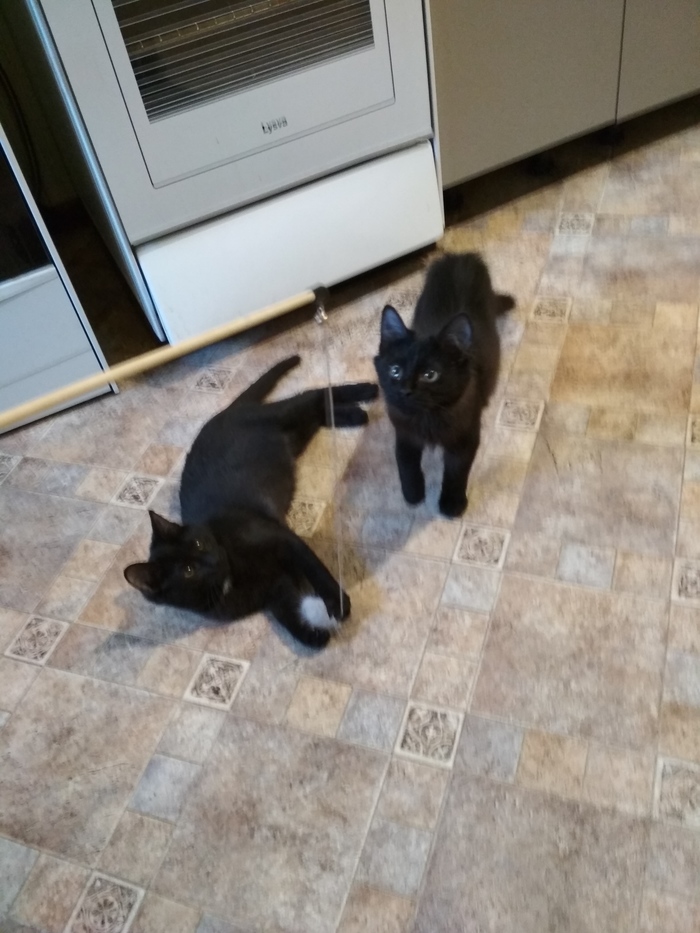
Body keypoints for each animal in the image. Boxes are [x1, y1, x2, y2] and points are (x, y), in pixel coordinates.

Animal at [124, 355, 378, 648]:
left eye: (198, 543)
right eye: (188, 570)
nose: (211, 560)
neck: (232, 575)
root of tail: (226, 411)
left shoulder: (283, 538)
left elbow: (316, 570)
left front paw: (337, 604)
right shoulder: (272, 588)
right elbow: (286, 614)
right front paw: (313, 635)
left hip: (284, 416)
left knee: (311, 394)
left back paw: (366, 392)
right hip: (295, 436)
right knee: (316, 410)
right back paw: (353, 413)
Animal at [374, 252, 514, 518]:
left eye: (430, 375)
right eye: (395, 370)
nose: (405, 391)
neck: (428, 417)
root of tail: (462, 256)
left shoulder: (465, 436)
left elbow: (456, 472)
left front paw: (452, 504)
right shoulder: (404, 432)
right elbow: (405, 463)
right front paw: (413, 494)